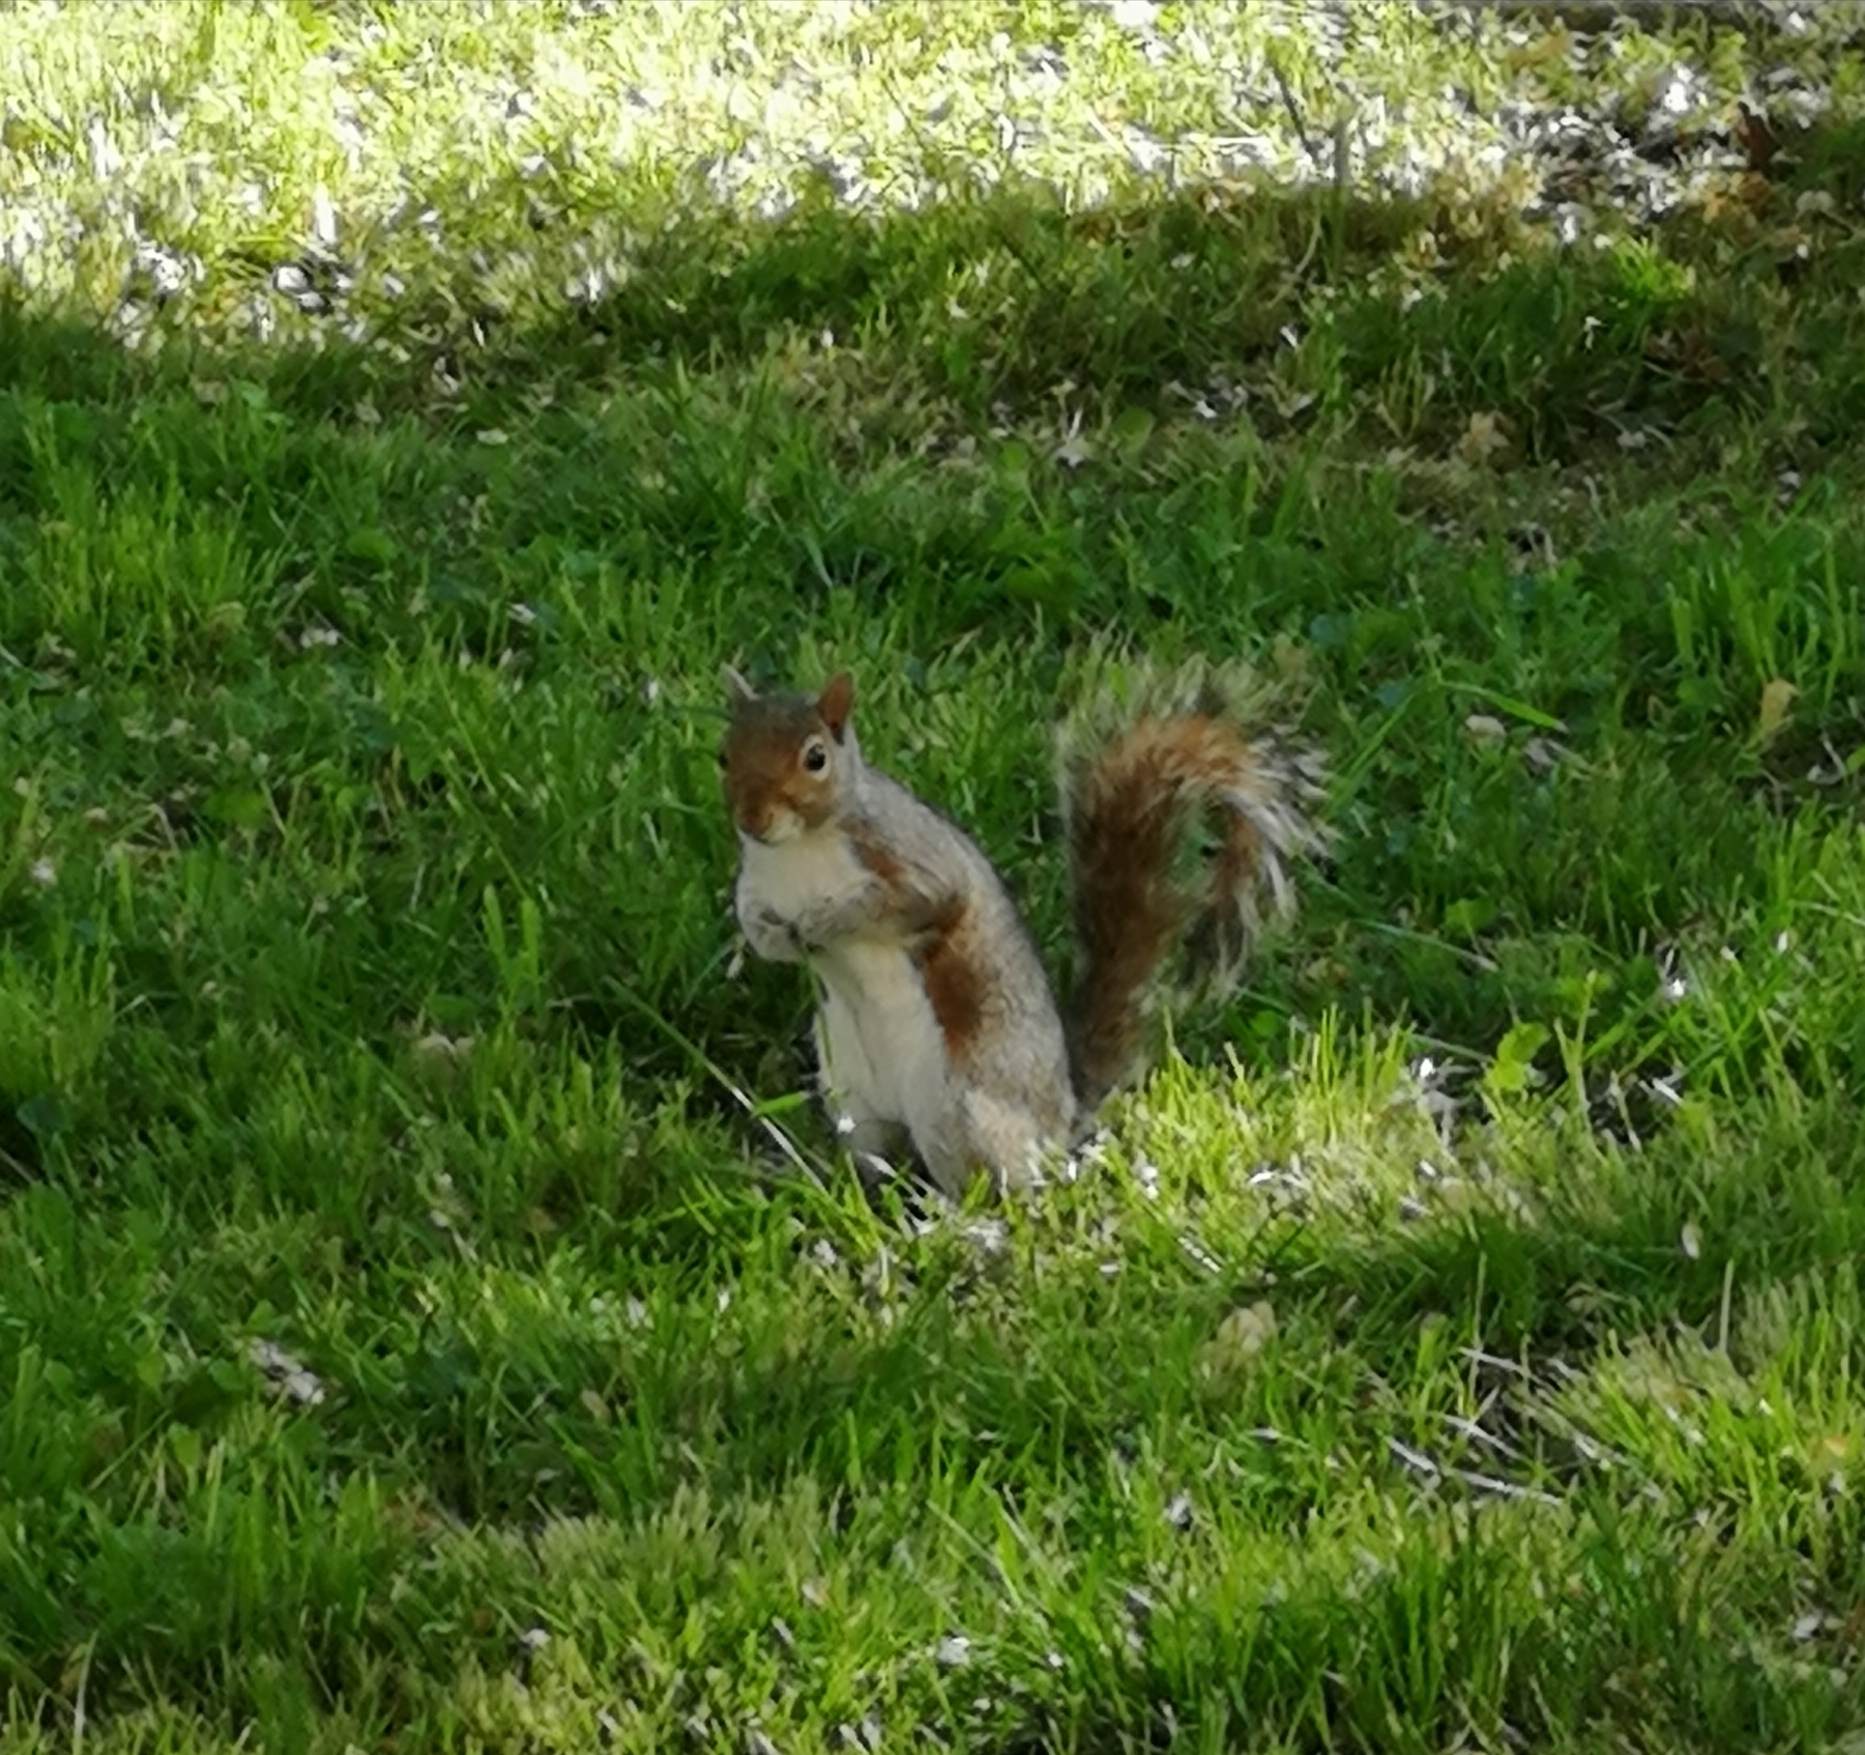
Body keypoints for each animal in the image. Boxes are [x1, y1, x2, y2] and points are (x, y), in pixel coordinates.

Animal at [718, 658, 1327, 1199]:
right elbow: (753, 922)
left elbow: (916, 901)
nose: (751, 819)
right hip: (851, 1098)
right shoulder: (756, 882)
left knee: (997, 1186)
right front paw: (774, 937)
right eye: (723, 755)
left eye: (815, 757)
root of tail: (1058, 1121)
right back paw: (822, 1176)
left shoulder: (908, 858)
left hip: (956, 1108)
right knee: (874, 1161)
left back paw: (950, 1218)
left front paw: (825, 920)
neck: (800, 850)